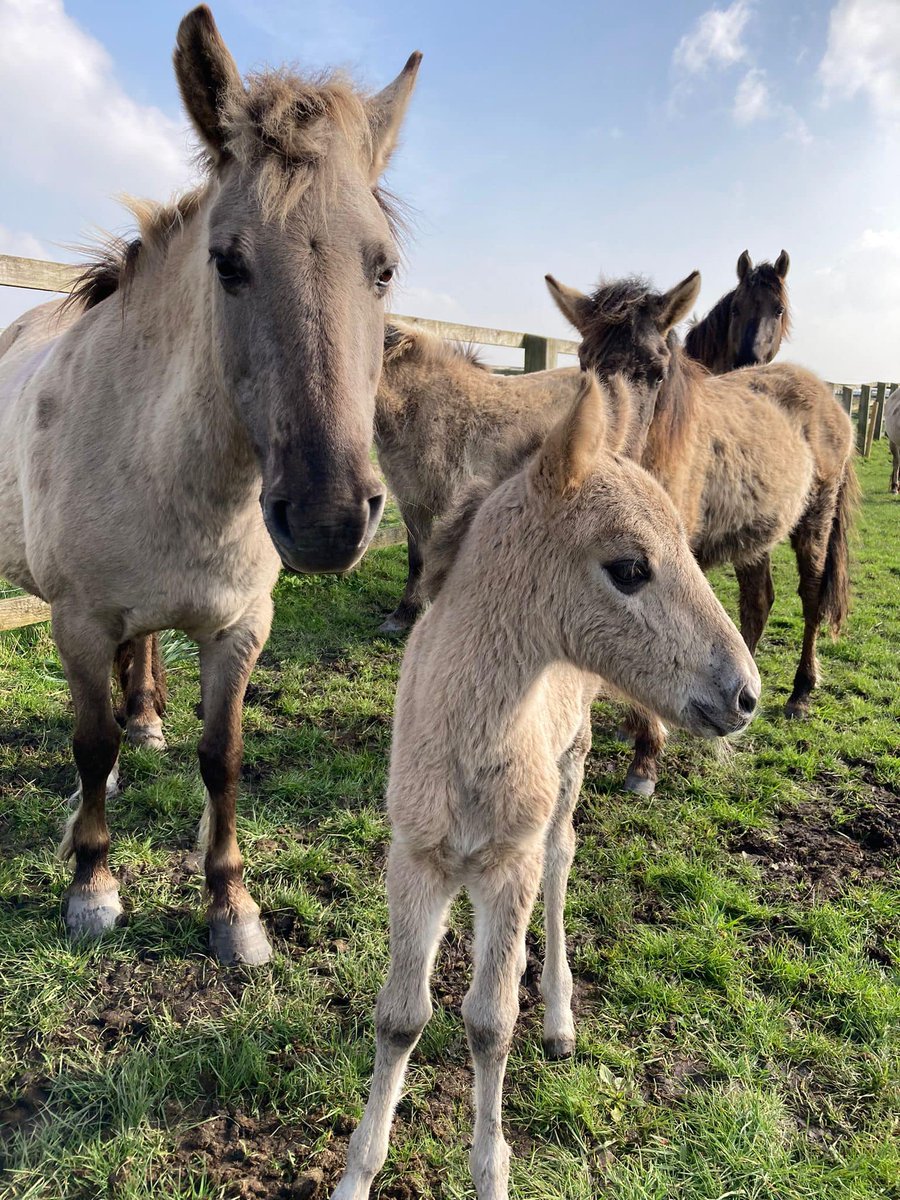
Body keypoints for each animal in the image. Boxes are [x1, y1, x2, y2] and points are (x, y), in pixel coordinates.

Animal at [547, 271, 854, 796]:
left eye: (657, 372)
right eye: (586, 362)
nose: (605, 453)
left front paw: (646, 757)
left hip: (815, 520)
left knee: (813, 598)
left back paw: (799, 695)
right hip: (756, 537)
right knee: (758, 601)